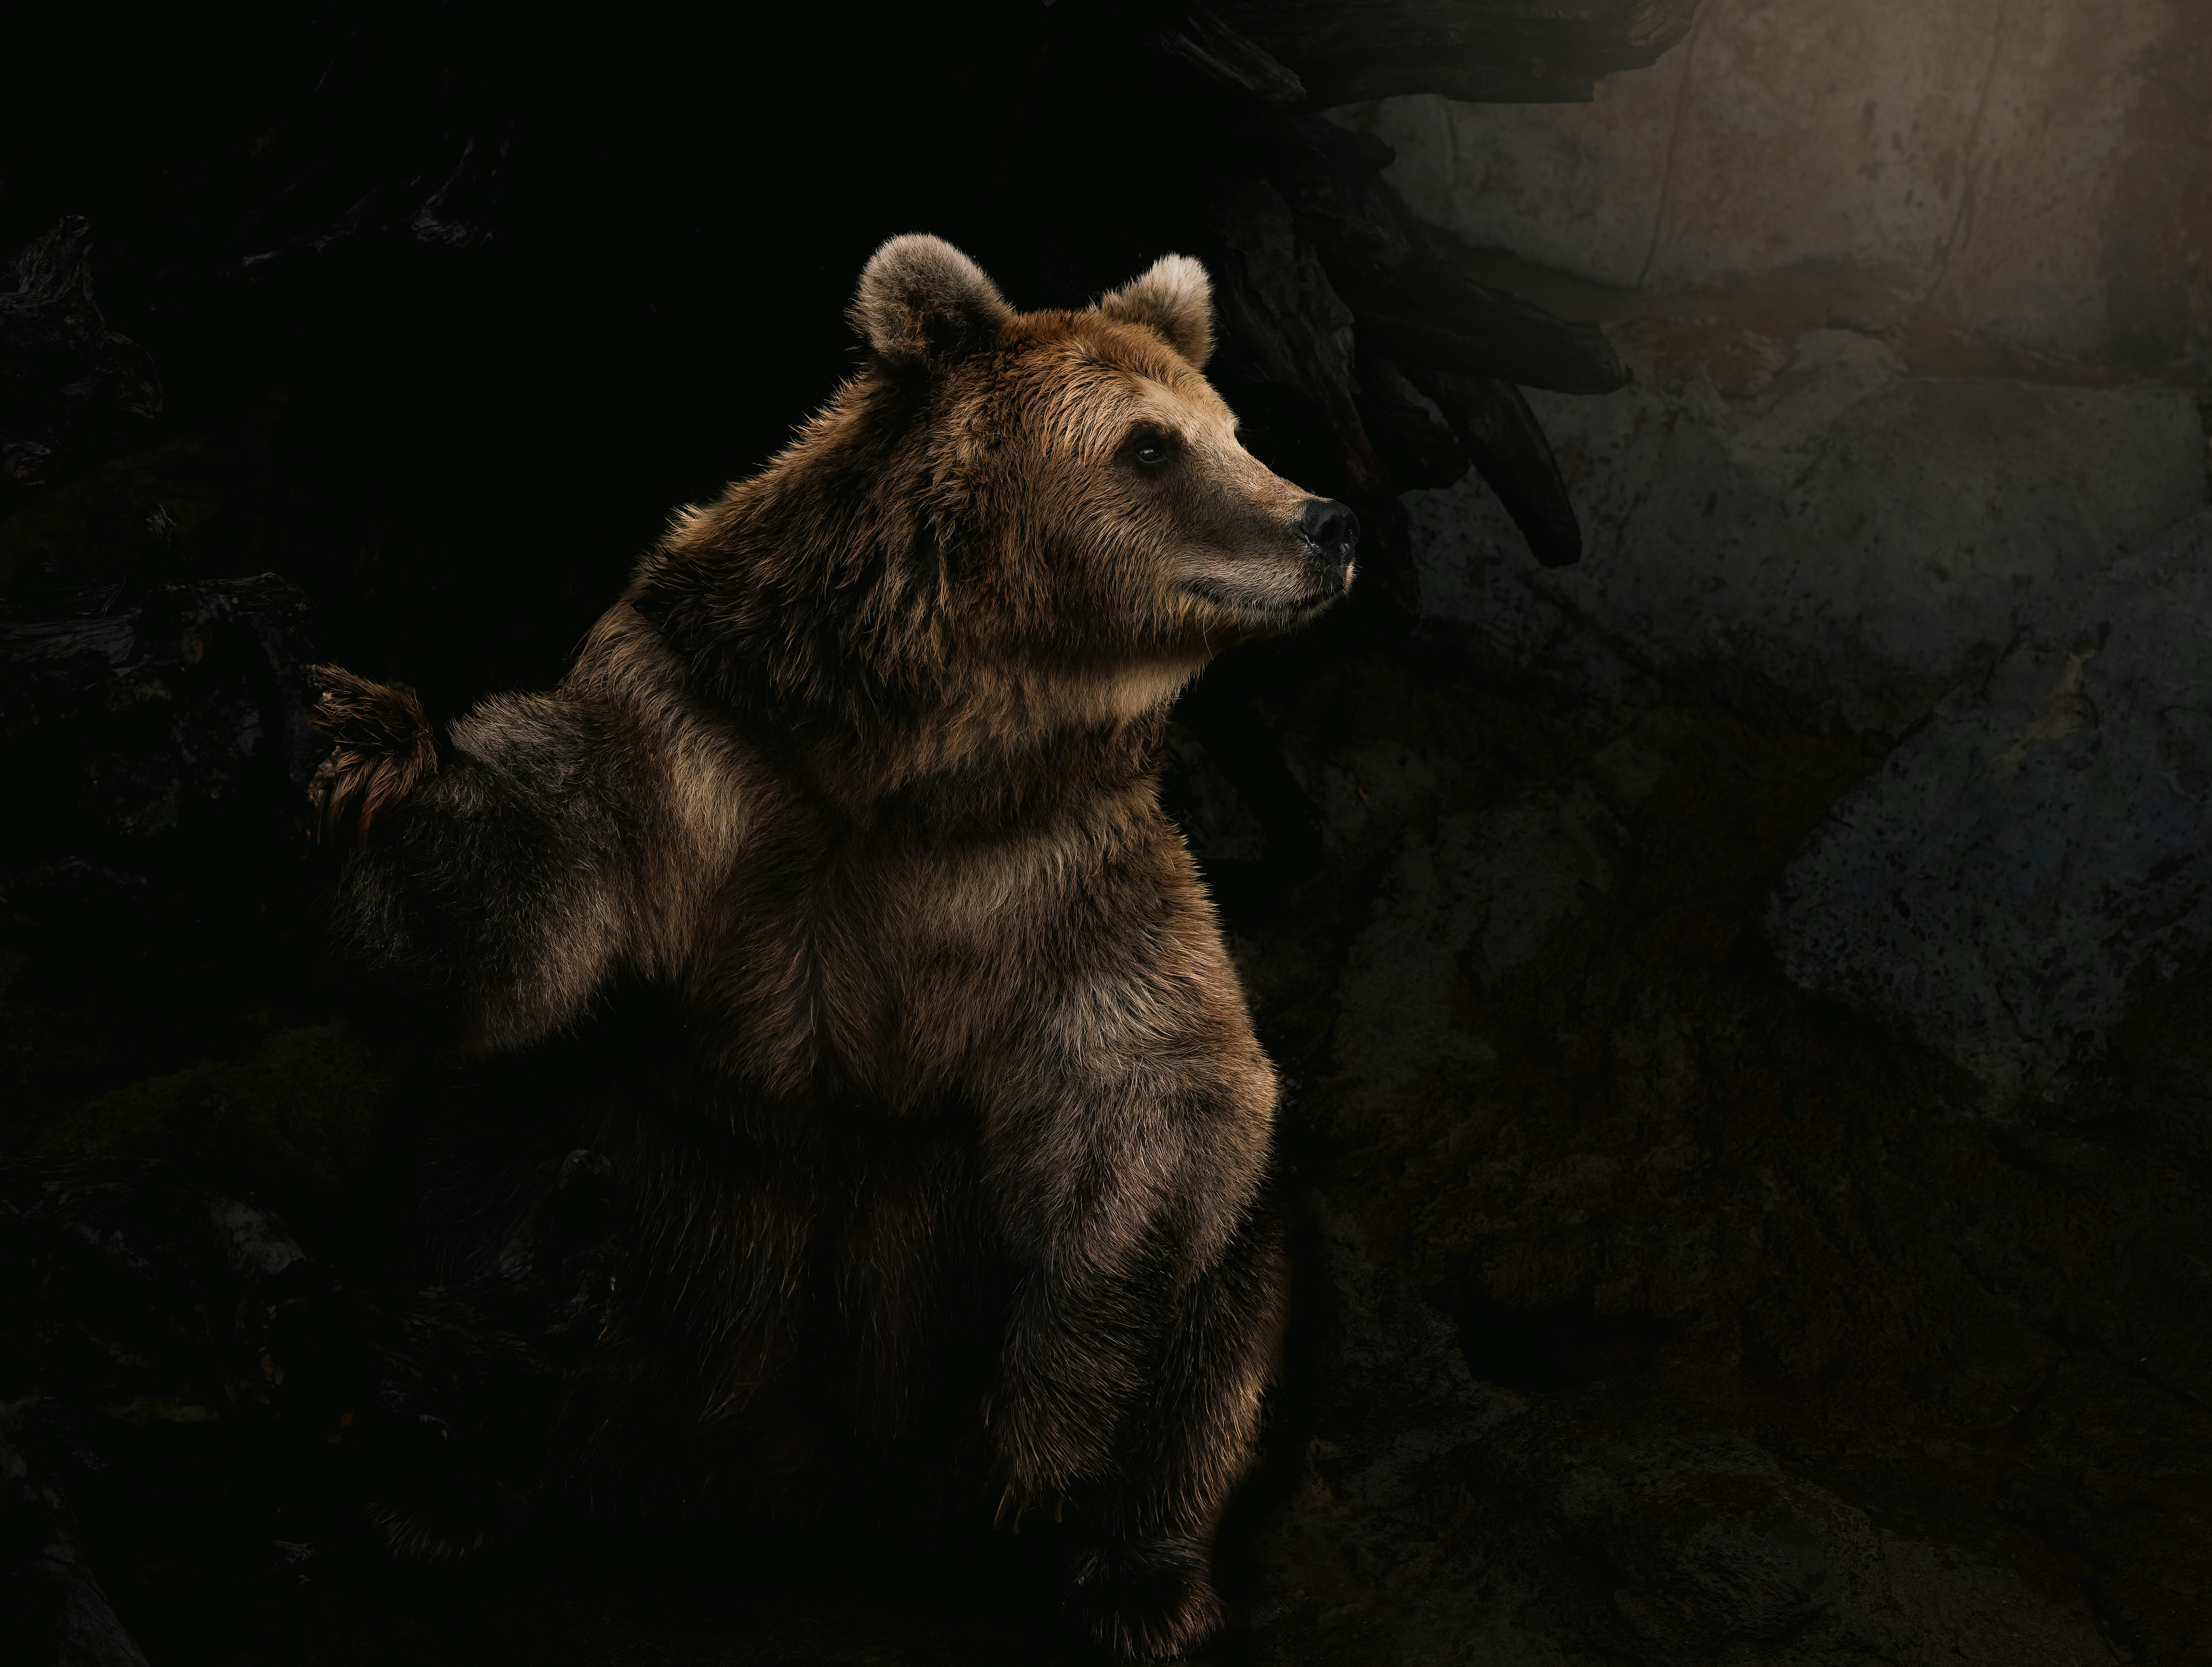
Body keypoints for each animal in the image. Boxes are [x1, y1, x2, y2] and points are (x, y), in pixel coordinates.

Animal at [307, 233, 1360, 1659]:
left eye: (1235, 428)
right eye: (1152, 445)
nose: (1325, 523)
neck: (924, 760)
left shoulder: (1076, 878)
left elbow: (1169, 1090)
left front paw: (1048, 1438)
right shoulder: (700, 762)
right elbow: (521, 930)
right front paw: (365, 746)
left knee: (1227, 1275)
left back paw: (1137, 1580)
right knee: (486, 1159)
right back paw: (455, 1443)